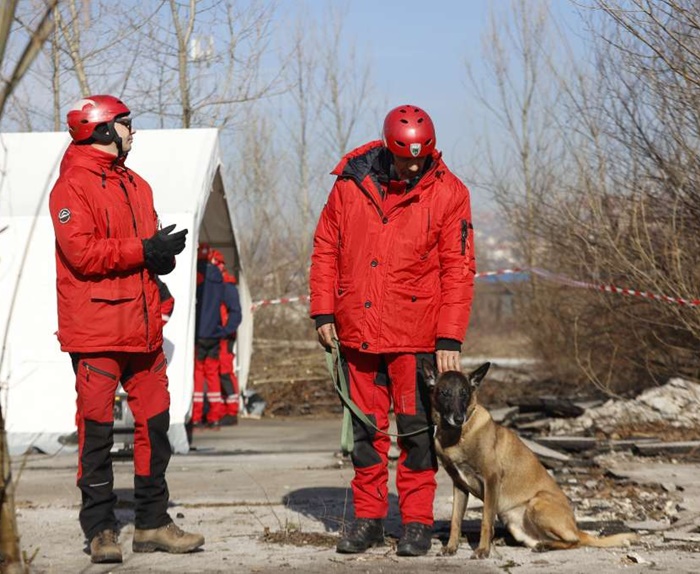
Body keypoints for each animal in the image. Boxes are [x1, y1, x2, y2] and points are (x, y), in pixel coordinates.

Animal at [424, 362, 636, 560]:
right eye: (444, 393)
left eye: (464, 393)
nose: (458, 418)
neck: (458, 435)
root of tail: (576, 527)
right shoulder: (459, 485)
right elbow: (455, 520)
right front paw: (451, 547)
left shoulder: (491, 479)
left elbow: (485, 520)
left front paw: (483, 550)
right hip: (514, 521)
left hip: (537, 503)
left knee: (574, 541)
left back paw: (545, 546)